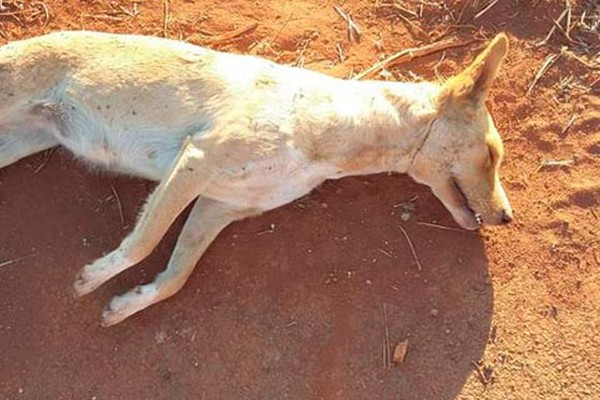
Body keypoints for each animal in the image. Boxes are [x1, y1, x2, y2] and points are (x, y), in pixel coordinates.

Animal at [0, 30, 512, 324]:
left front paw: (126, 305)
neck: (335, 128)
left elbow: (176, 276)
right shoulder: (197, 161)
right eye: (491, 155)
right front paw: (92, 279)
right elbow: (142, 244)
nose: (507, 217)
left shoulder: (219, 205)